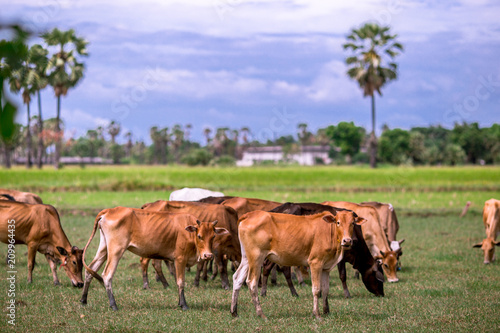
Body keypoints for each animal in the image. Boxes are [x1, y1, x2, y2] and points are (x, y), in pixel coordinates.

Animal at [80, 206, 229, 310]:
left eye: (213, 236)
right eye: (199, 236)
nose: (208, 255)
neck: (189, 232)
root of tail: (110, 210)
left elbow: (177, 281)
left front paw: (179, 302)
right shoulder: (180, 259)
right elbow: (181, 282)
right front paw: (184, 305)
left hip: (104, 249)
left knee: (90, 270)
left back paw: (83, 300)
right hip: (116, 250)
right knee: (107, 275)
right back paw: (113, 304)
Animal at [231, 209, 368, 318]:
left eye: (352, 223)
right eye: (338, 222)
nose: (347, 240)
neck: (330, 232)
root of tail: (250, 214)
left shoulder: (326, 268)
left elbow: (325, 289)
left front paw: (326, 311)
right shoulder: (315, 263)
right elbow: (316, 289)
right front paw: (317, 314)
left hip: (246, 258)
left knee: (237, 278)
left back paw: (234, 311)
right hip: (256, 257)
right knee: (251, 282)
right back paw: (261, 314)